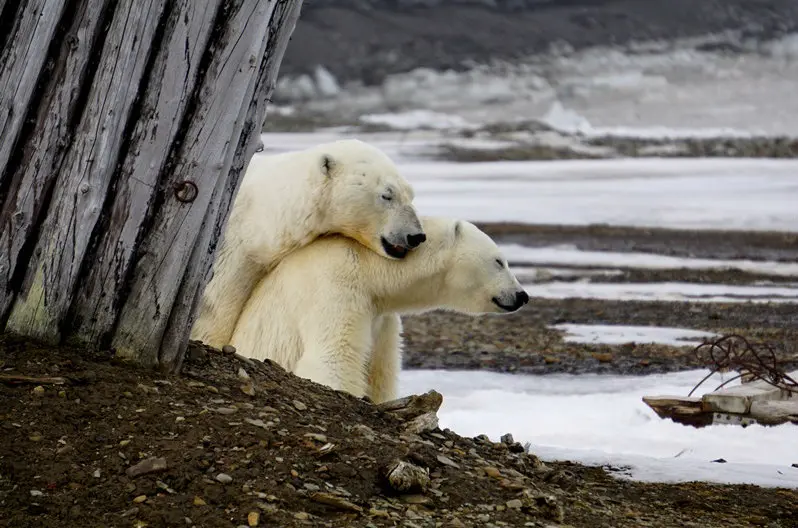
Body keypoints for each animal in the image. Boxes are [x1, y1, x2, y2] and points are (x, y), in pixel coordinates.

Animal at [230, 216, 529, 404]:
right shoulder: (333, 287)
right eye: (499, 261)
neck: (369, 265)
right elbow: (333, 356)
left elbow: (380, 370)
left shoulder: (382, 317)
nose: (522, 295)